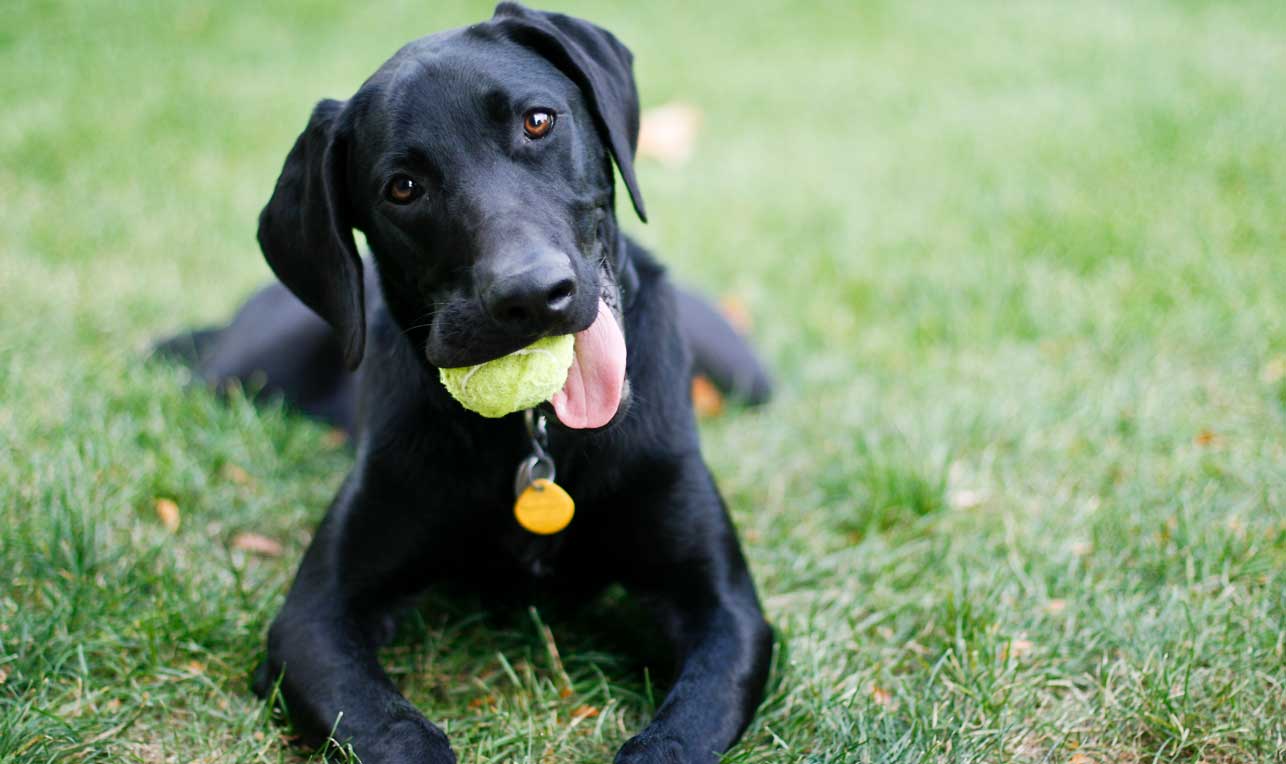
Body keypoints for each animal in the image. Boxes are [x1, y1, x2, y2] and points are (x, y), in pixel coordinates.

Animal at [159, 2, 766, 756]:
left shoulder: (724, 607)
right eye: (403, 188)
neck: (539, 435)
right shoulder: (314, 618)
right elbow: (392, 730)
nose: (532, 296)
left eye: (538, 121)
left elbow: (678, 734)